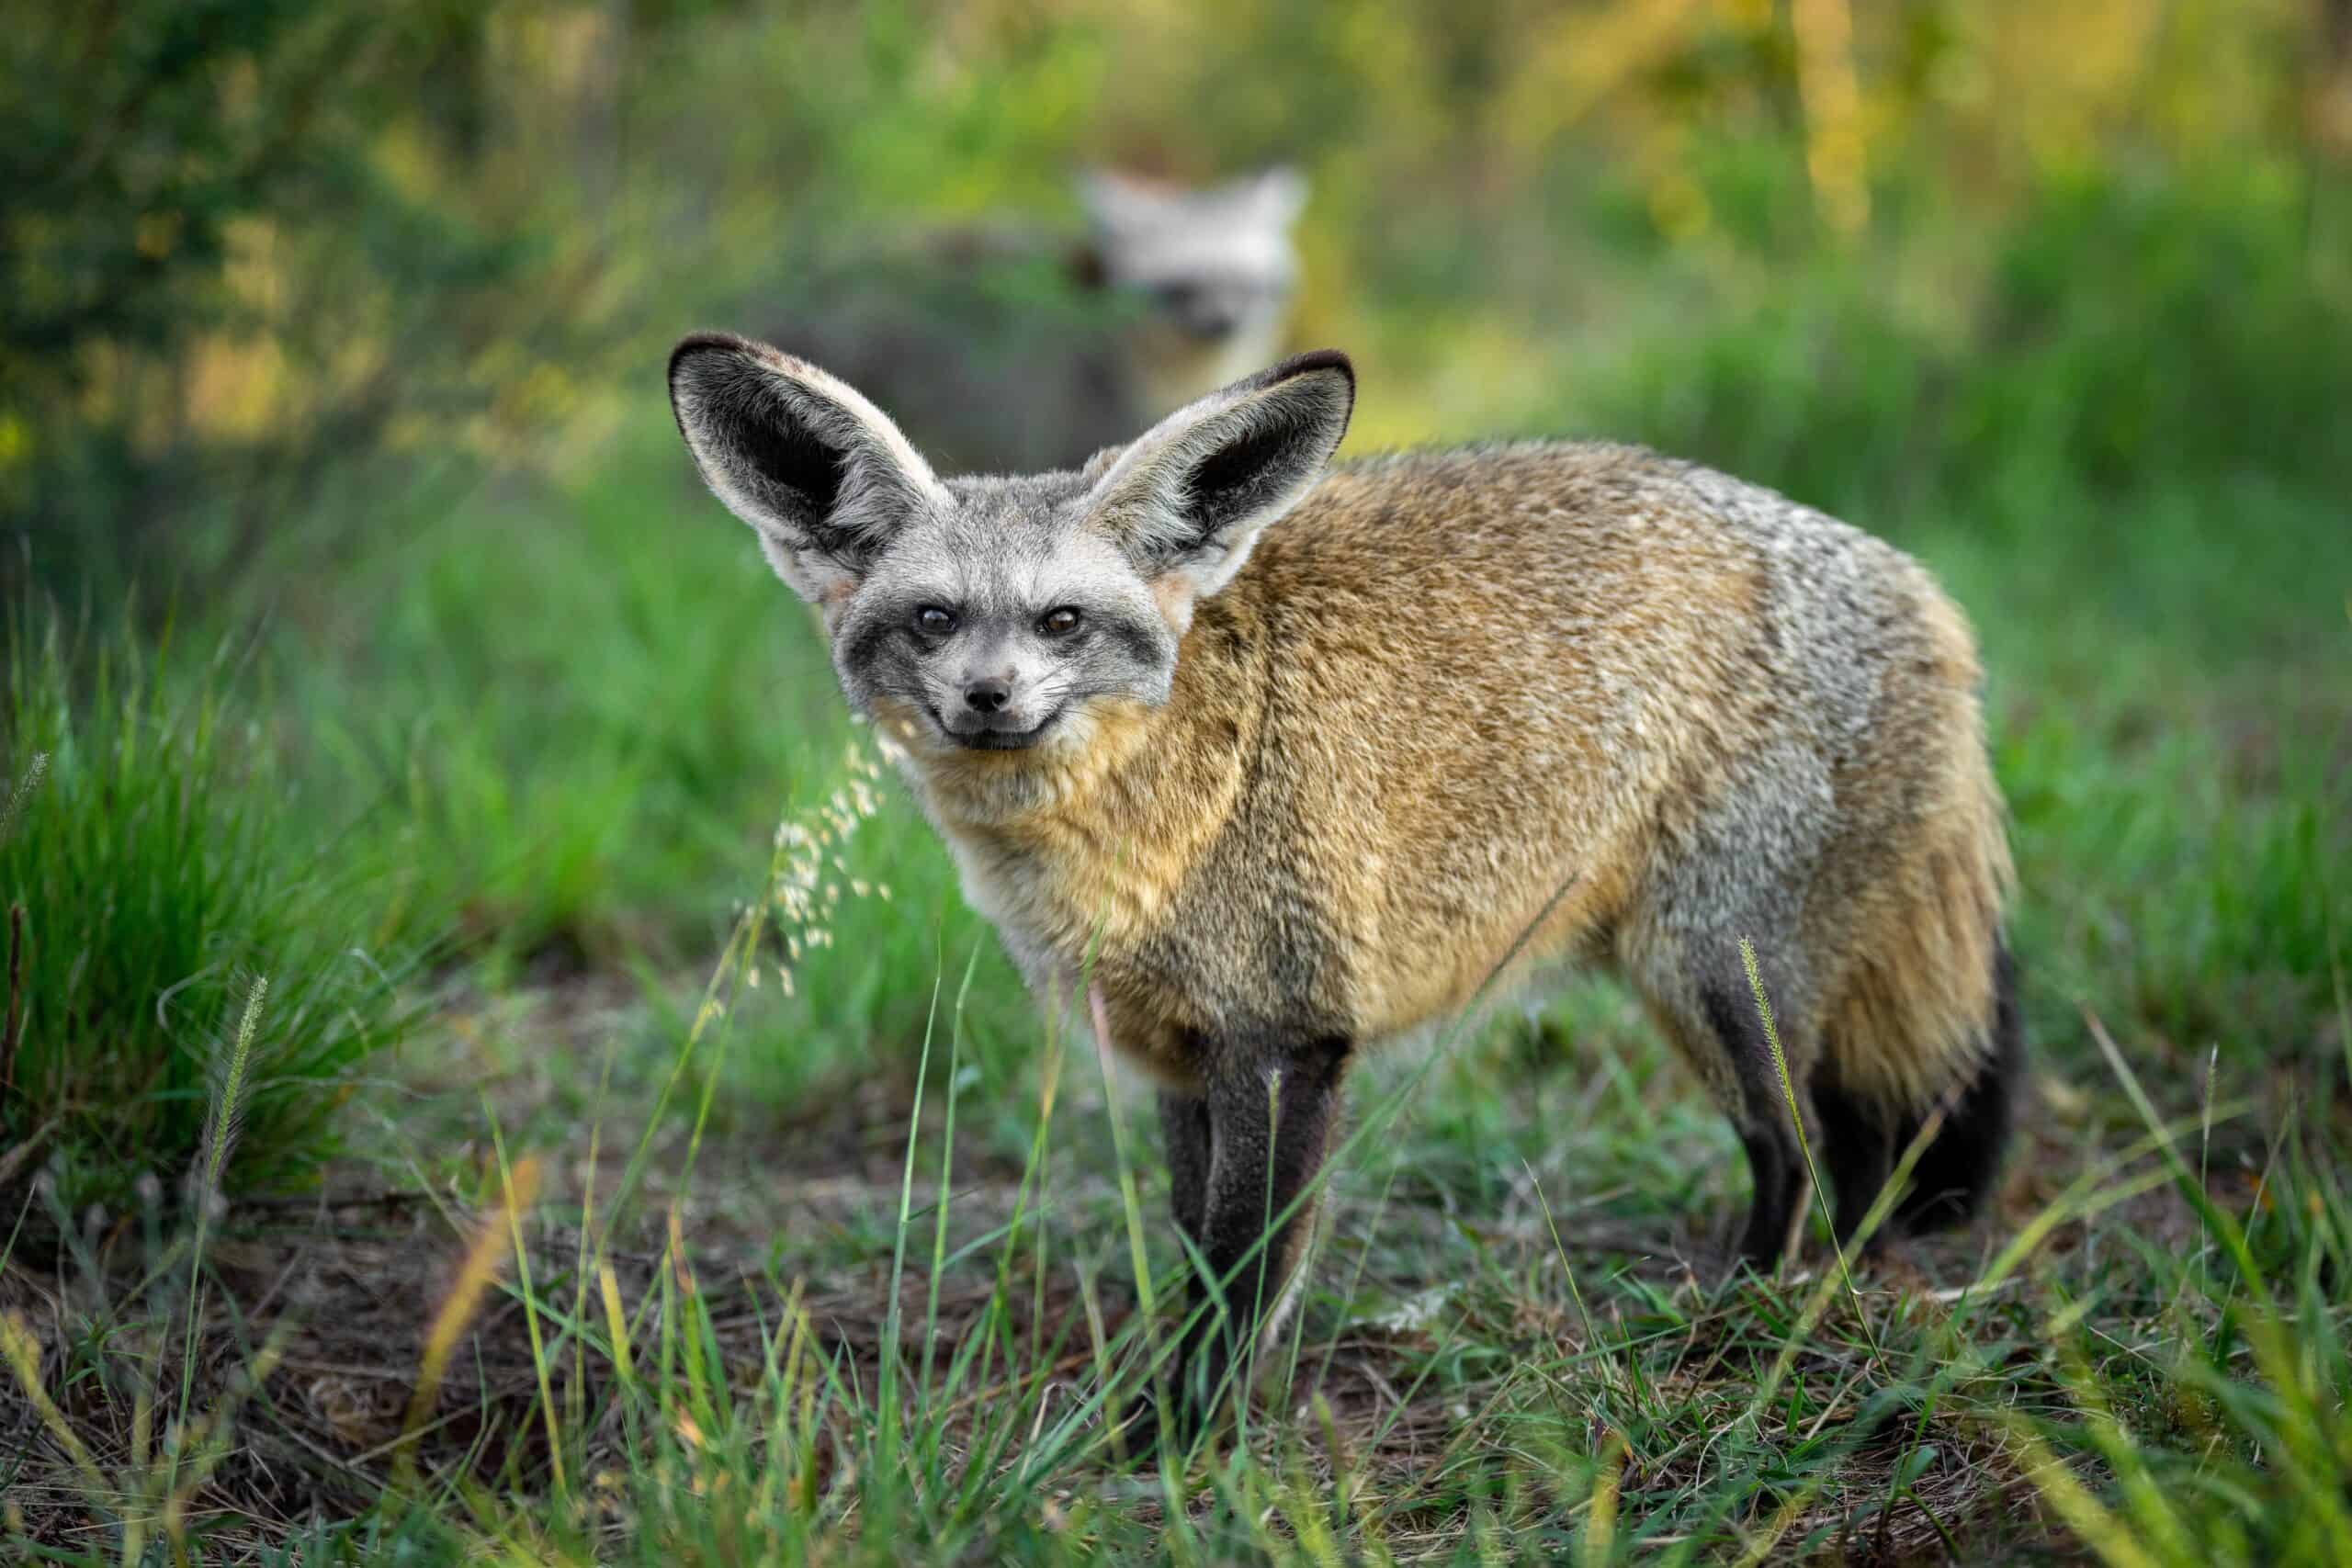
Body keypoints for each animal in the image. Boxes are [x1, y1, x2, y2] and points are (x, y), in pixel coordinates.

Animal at [662, 338, 2022, 1438]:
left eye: (1060, 622)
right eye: (935, 620)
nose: (989, 698)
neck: (1167, 814)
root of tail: (1924, 591)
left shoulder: (1290, 1038)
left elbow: (1244, 1279)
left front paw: (1180, 1440)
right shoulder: (1177, 1054)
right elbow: (1200, 1258)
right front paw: (1181, 1415)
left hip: (1713, 981)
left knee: (1800, 1150)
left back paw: (1751, 1320)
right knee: (1855, 1159)